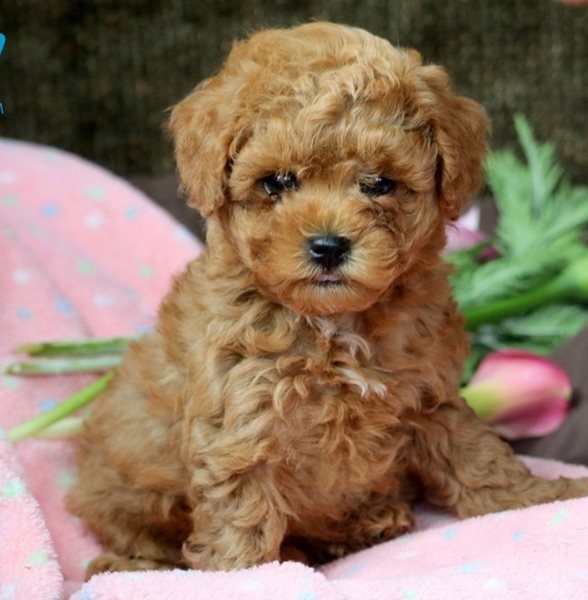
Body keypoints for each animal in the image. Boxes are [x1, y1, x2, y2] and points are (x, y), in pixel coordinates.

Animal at [66, 23, 588, 576]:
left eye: (379, 183)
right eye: (276, 182)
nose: (329, 245)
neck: (333, 325)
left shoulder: (432, 397)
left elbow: (478, 459)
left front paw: (543, 498)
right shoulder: (239, 427)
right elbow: (241, 523)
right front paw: (245, 578)